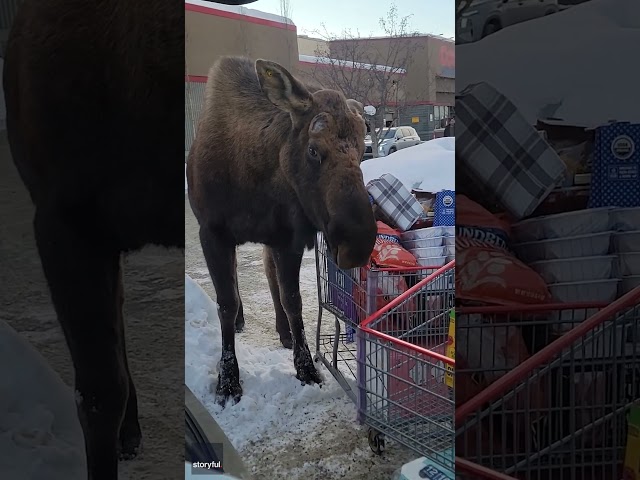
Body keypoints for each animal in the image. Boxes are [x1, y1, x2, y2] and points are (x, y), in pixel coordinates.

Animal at [186, 56, 376, 404]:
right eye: (313, 149)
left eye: (360, 149)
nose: (356, 245)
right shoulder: (212, 233)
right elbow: (225, 303)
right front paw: (228, 382)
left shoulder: (285, 237)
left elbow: (292, 300)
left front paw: (306, 368)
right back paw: (242, 322)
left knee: (269, 276)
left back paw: (283, 332)